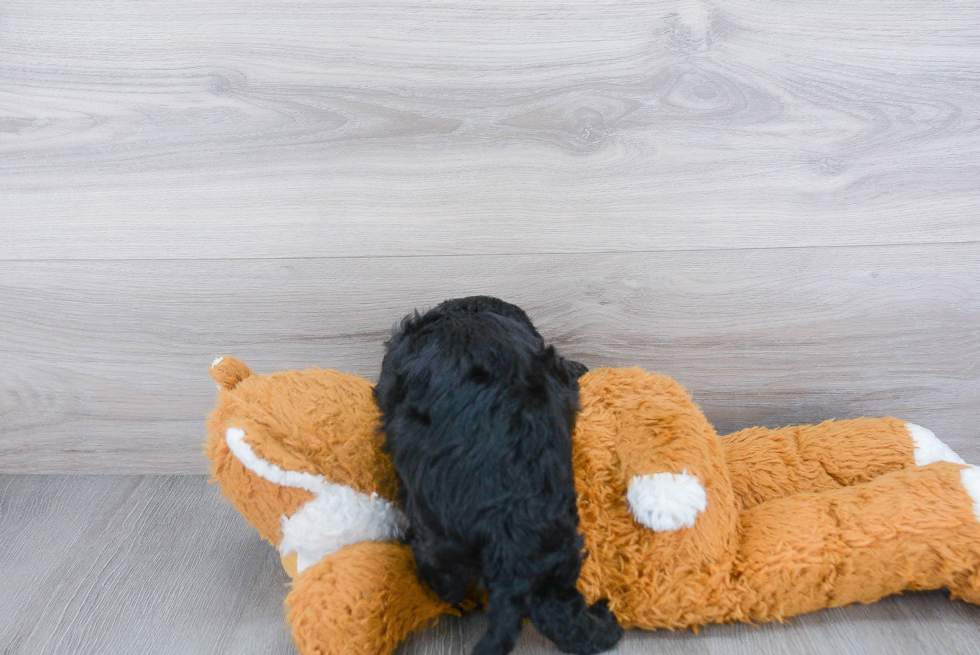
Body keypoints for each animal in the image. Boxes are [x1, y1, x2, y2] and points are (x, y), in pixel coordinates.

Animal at [376, 298, 620, 655]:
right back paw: (603, 623)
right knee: (559, 612)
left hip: (441, 538)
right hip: (553, 548)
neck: (465, 315)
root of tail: (507, 535)